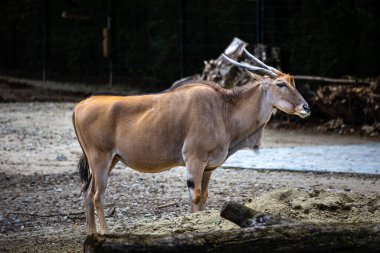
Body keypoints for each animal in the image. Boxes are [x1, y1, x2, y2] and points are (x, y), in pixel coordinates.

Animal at [72, 49, 310, 235]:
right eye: (280, 83)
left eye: (293, 81)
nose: (306, 107)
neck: (223, 110)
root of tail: (80, 106)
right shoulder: (194, 160)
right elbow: (194, 197)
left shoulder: (208, 167)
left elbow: (204, 196)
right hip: (101, 159)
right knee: (96, 195)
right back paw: (104, 234)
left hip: (110, 160)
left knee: (87, 193)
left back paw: (91, 235)